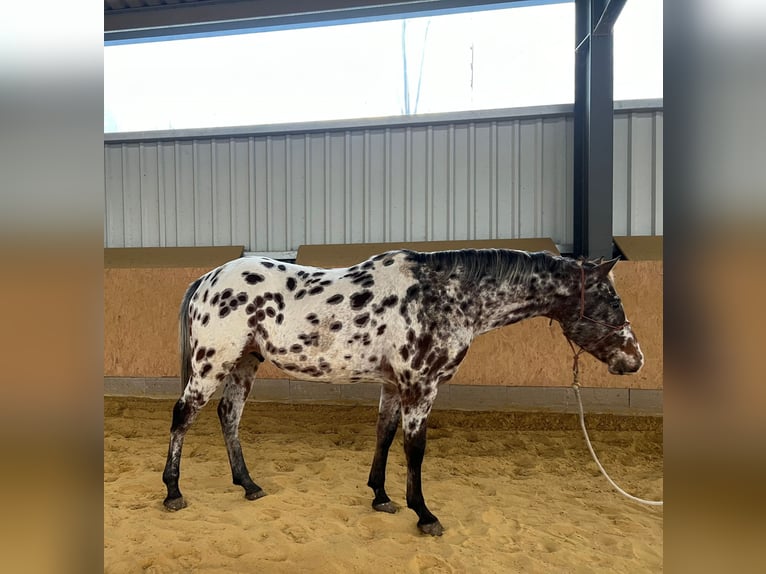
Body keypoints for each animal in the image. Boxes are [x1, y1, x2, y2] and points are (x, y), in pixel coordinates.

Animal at [165, 250, 644, 536]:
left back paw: (248, 484)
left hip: (244, 363)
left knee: (229, 415)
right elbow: (415, 448)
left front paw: (381, 496)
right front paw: (425, 514)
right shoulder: (421, 385)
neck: (447, 294)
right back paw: (173, 492)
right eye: (613, 302)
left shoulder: (395, 385)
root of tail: (207, 278)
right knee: (183, 415)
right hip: (211, 364)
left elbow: (385, 434)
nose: (635, 359)